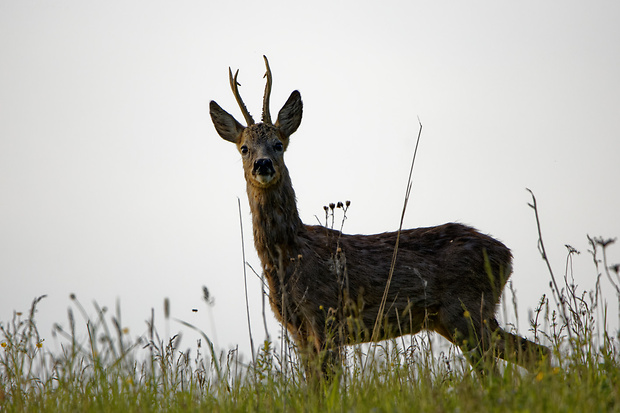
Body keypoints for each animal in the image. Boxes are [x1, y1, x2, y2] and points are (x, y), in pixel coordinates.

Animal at [211, 56, 548, 378]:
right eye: (244, 148)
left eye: (279, 144)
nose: (263, 164)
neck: (289, 253)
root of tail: (506, 255)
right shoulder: (297, 328)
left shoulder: (327, 314)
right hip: (458, 317)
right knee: (535, 353)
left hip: (466, 309)